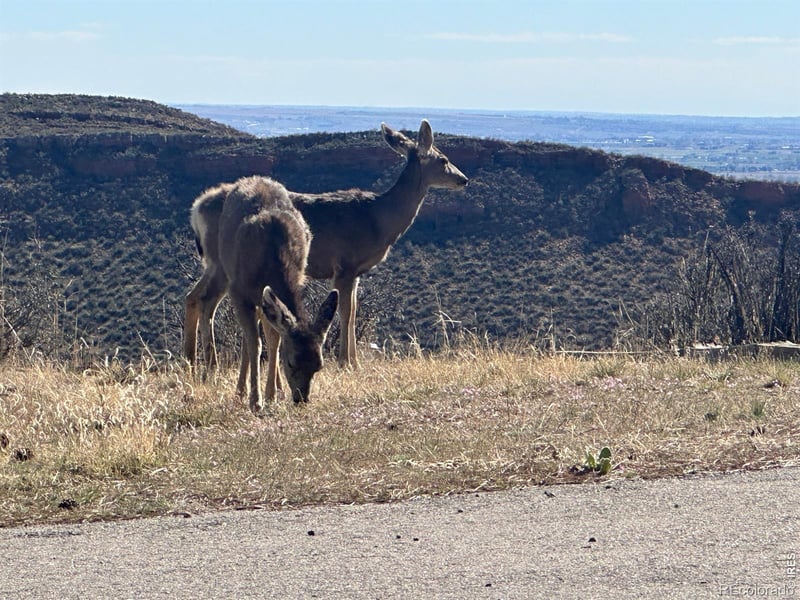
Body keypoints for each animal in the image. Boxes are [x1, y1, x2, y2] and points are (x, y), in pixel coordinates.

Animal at [184, 119, 468, 371]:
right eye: (443, 159)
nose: (463, 179)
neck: (378, 218)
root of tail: (197, 207)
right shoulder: (345, 265)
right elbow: (345, 312)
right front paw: (346, 362)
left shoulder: (355, 272)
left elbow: (353, 310)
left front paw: (353, 361)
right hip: (224, 261)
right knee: (207, 300)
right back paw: (210, 364)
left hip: (213, 262)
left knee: (193, 295)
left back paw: (191, 362)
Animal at [215, 175, 338, 413]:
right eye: (291, 362)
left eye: (319, 366)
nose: (301, 399)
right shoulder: (239, 290)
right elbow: (255, 343)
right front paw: (256, 401)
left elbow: (275, 339)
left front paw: (271, 394)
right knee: (250, 337)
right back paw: (241, 392)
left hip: (263, 299)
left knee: (270, 330)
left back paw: (276, 391)